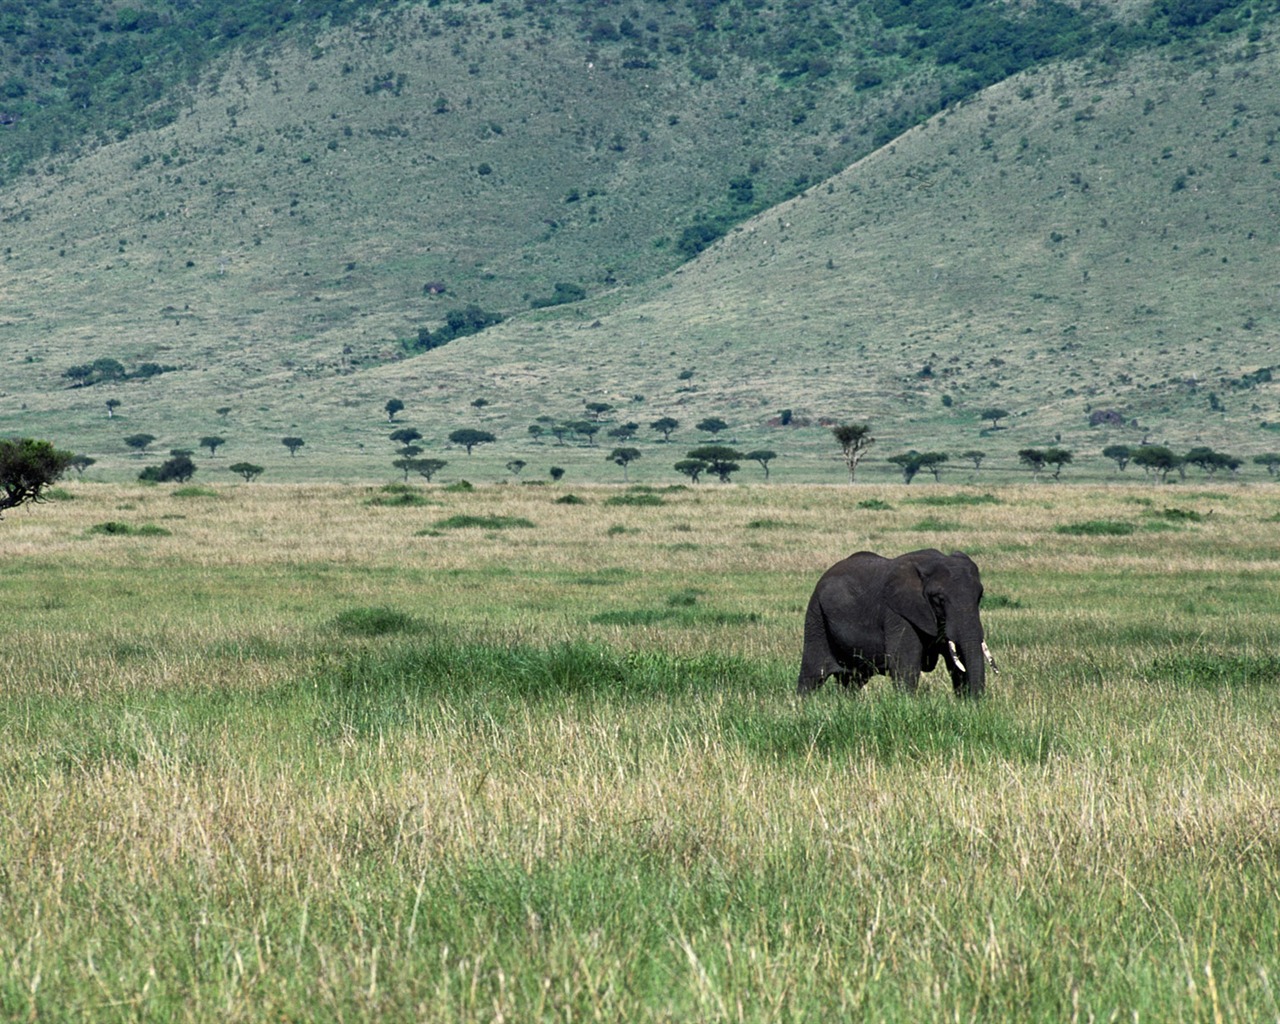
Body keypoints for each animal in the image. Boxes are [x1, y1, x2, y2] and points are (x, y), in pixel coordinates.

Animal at [793, 547, 993, 701]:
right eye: (939, 599)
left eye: (979, 596)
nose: (977, 701)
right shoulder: (897, 613)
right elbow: (905, 663)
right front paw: (908, 704)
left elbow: (956, 662)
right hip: (816, 616)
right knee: (813, 673)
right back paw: (802, 705)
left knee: (852, 680)